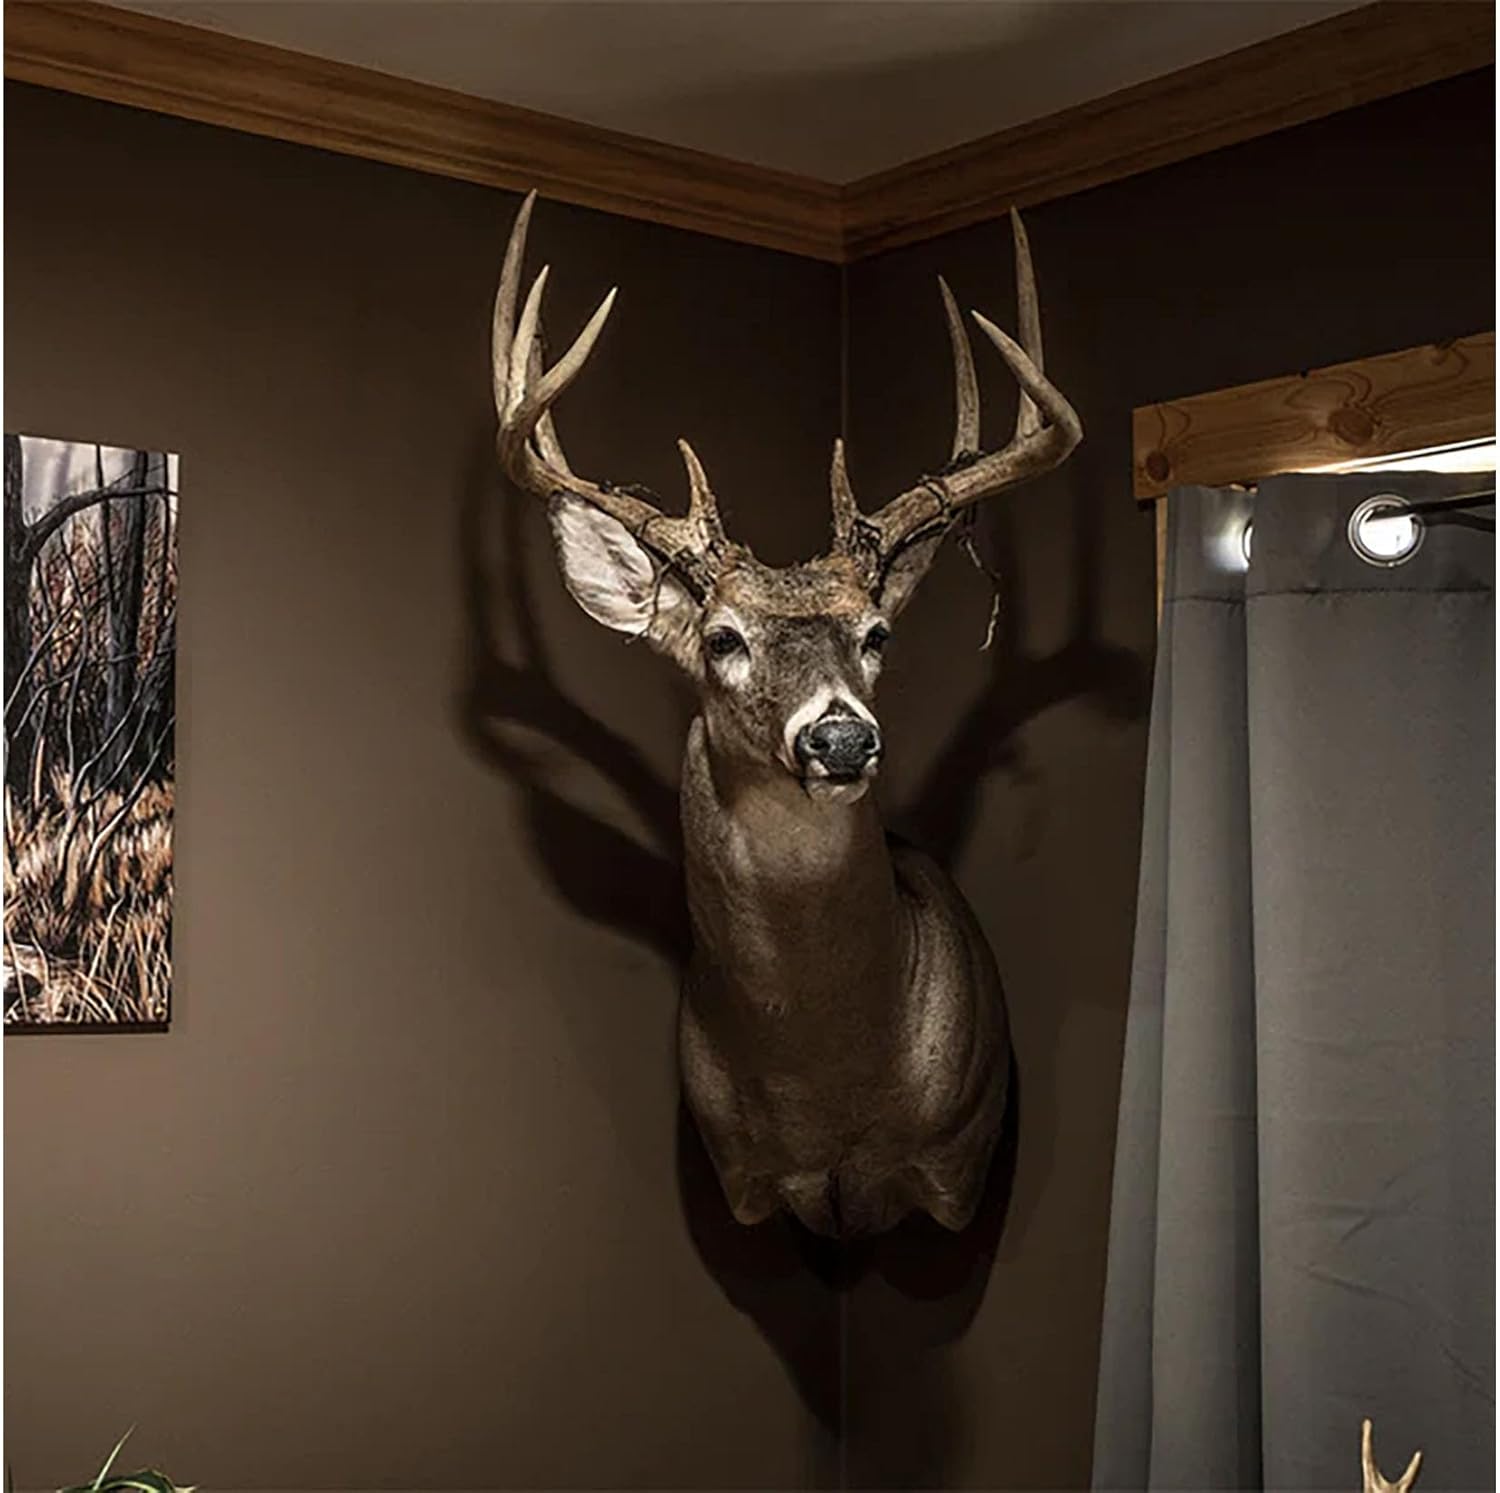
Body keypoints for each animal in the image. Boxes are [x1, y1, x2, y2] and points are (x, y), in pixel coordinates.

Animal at [490, 192, 1081, 1237]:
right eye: (723, 637)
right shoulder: (746, 1180)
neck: (827, 1084)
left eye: (877, 632)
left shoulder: (954, 1166)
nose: (841, 735)